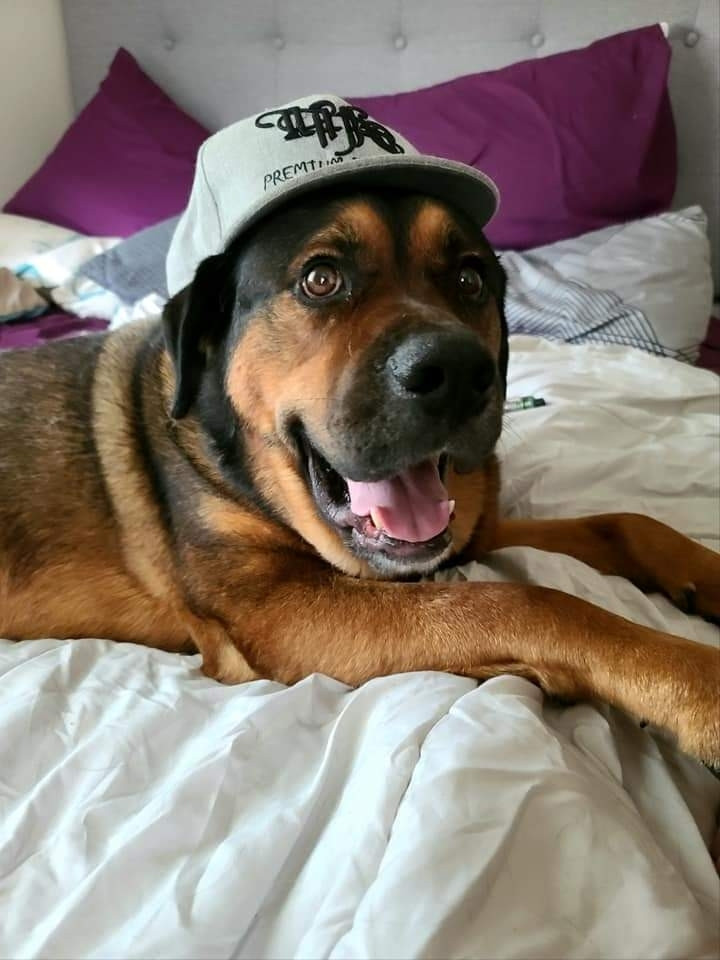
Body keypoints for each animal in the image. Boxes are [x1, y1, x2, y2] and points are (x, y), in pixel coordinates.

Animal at [0, 182, 716, 764]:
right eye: (321, 279)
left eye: (471, 280)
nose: (460, 372)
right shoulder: (274, 611)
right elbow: (524, 601)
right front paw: (697, 684)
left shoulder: (474, 537)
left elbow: (625, 523)